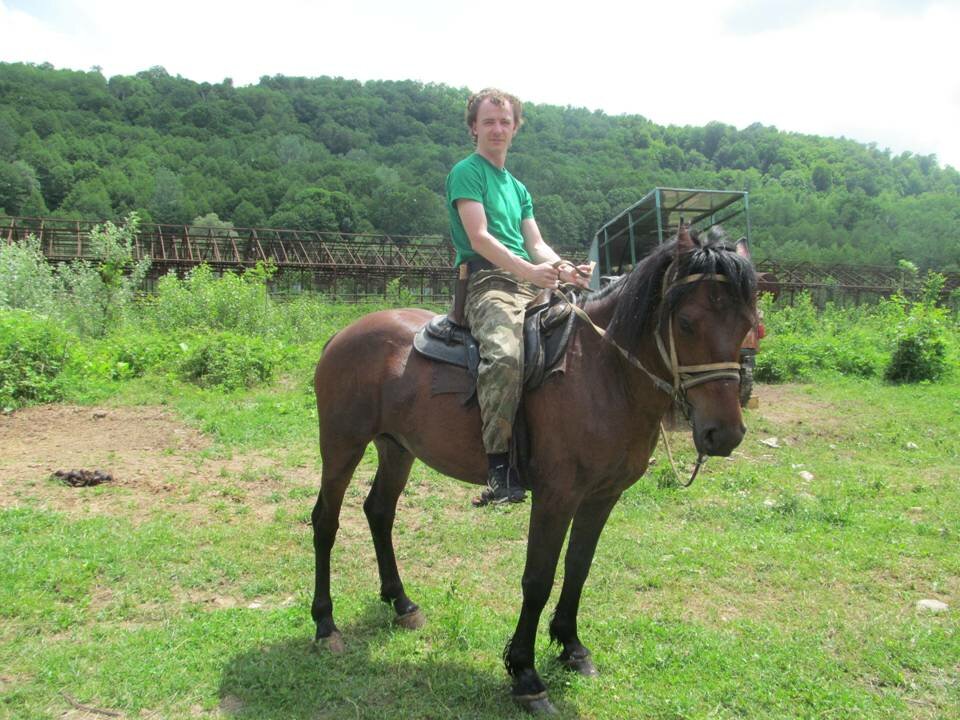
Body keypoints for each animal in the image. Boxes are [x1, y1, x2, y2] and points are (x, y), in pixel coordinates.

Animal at [310, 225, 757, 713]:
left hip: (397, 448)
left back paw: (401, 603)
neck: (604, 373)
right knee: (325, 521)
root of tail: (343, 334)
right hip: (342, 446)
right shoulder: (555, 498)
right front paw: (525, 674)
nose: (724, 434)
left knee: (379, 512)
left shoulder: (602, 497)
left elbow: (578, 567)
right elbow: (537, 579)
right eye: (687, 322)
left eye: (747, 324)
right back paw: (325, 625)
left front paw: (571, 647)